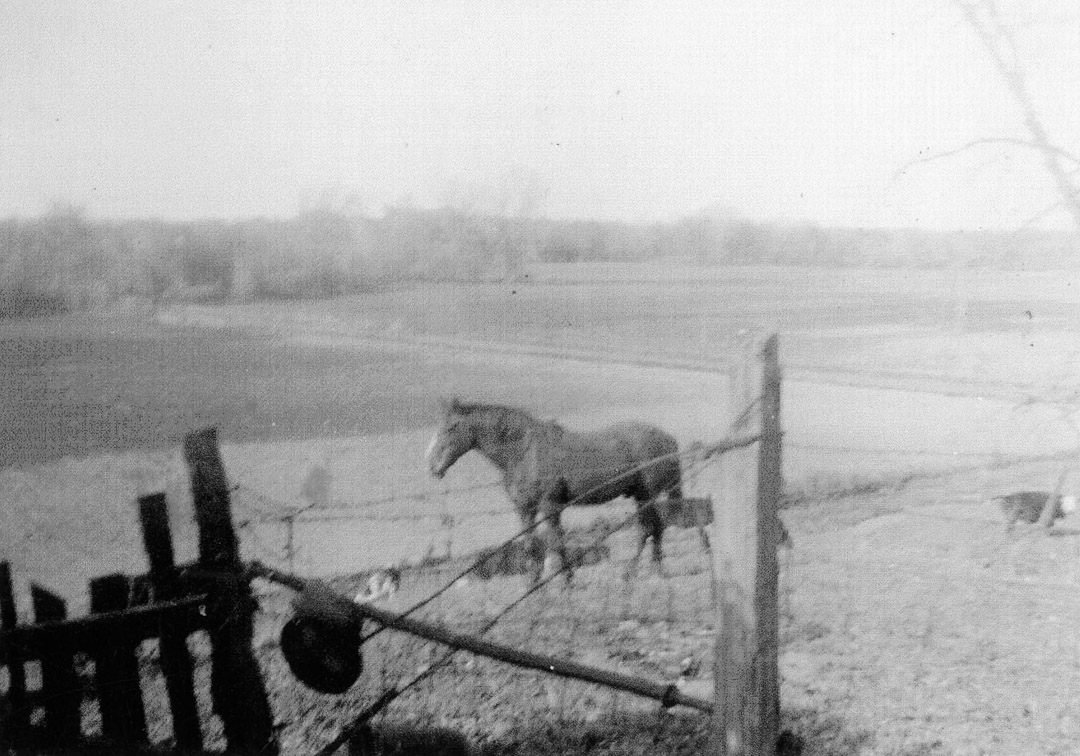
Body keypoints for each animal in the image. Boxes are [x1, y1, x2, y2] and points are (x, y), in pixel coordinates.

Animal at [425, 399, 684, 584]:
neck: (524, 452)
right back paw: (655, 570)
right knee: (655, 528)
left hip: (646, 496)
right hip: (640, 496)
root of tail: (670, 441)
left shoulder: (550, 506)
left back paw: (634, 572)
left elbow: (556, 541)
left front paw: (566, 581)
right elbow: (531, 545)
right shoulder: (525, 510)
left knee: (647, 529)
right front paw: (532, 584)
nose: (432, 466)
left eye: (451, 427)